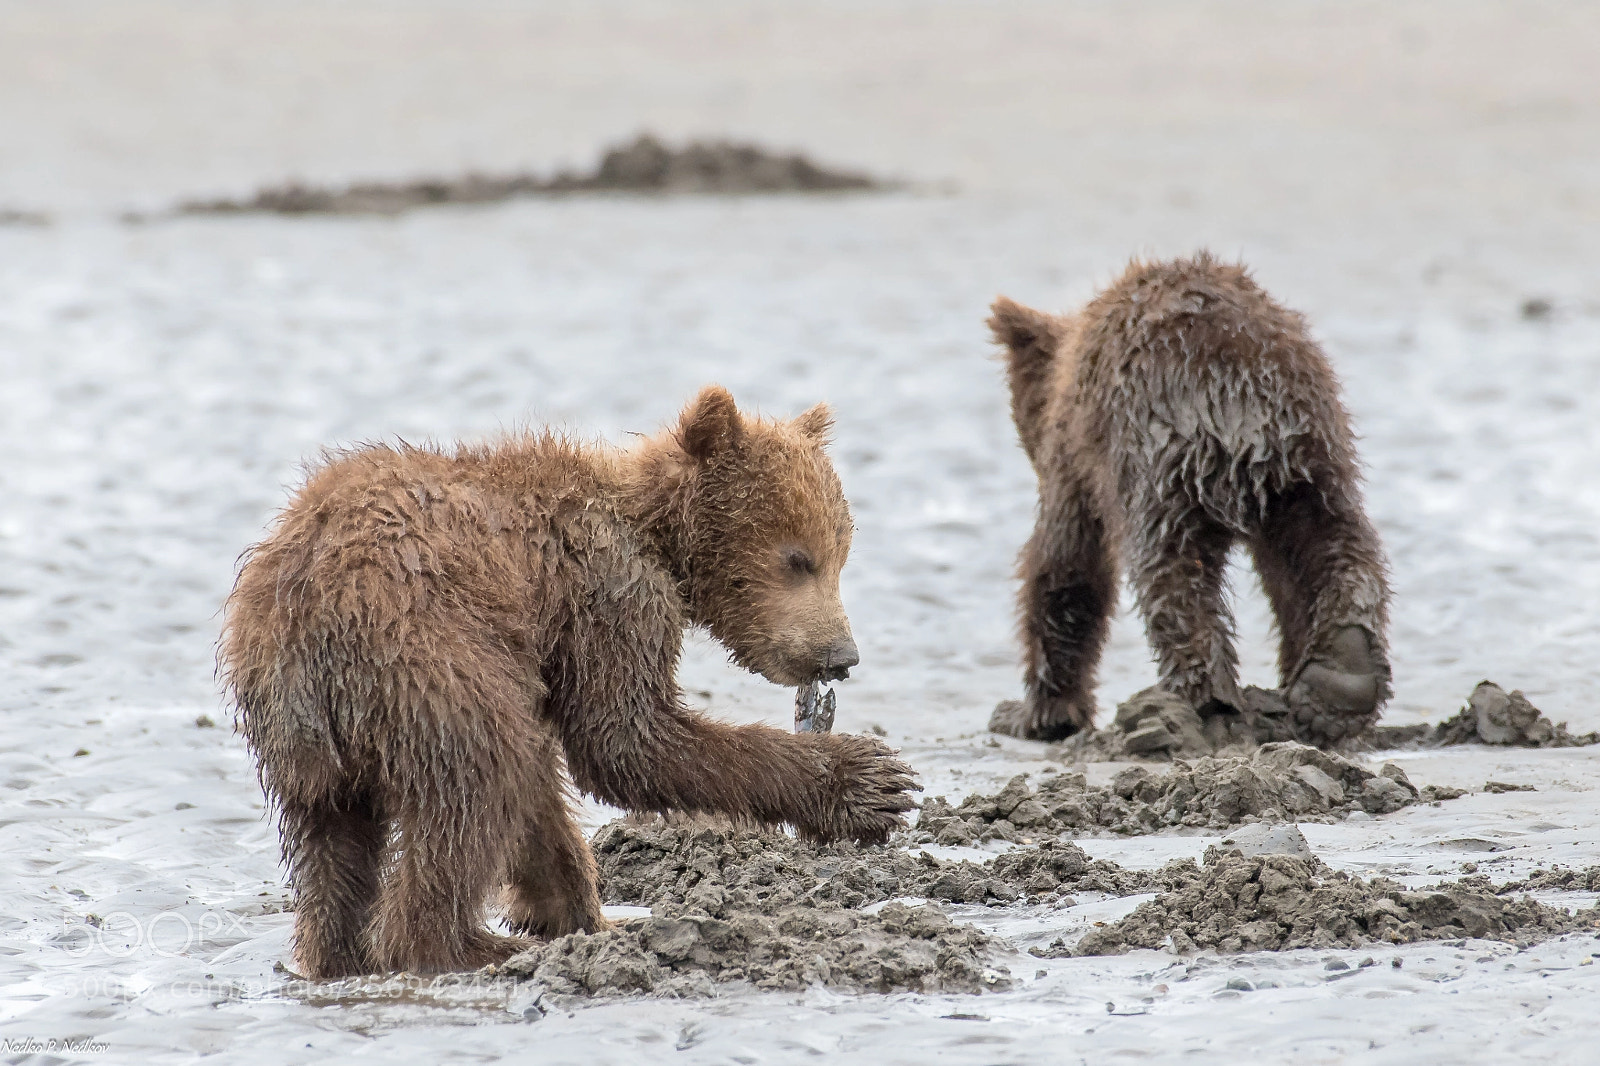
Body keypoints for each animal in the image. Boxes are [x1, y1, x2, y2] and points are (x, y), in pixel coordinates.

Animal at [219, 386, 917, 979]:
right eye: (798, 559)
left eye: (841, 552)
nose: (840, 654)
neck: (655, 533)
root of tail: (302, 617)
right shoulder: (608, 591)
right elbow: (628, 738)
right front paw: (871, 781)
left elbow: (551, 781)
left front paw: (568, 909)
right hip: (421, 650)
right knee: (478, 777)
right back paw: (460, 947)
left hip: (302, 732)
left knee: (335, 845)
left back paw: (335, 955)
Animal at [985, 252, 1392, 748]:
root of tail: (1239, 395)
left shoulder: (1078, 458)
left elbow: (1067, 565)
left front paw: (1036, 713)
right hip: (1309, 455)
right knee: (1333, 541)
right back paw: (1340, 680)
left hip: (1160, 455)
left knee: (1170, 567)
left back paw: (1204, 702)